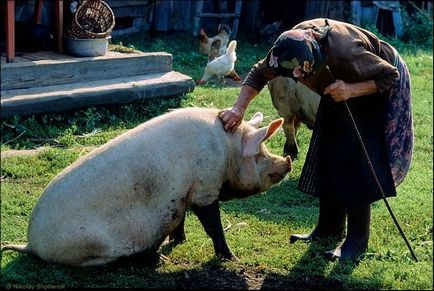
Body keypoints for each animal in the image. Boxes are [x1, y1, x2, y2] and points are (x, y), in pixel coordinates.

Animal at [2, 106, 292, 266]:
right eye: (260, 153)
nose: (287, 162)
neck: (227, 151)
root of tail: (31, 244)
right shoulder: (204, 188)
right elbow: (213, 226)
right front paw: (232, 259)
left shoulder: (182, 193)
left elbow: (180, 219)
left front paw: (180, 240)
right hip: (88, 245)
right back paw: (153, 257)